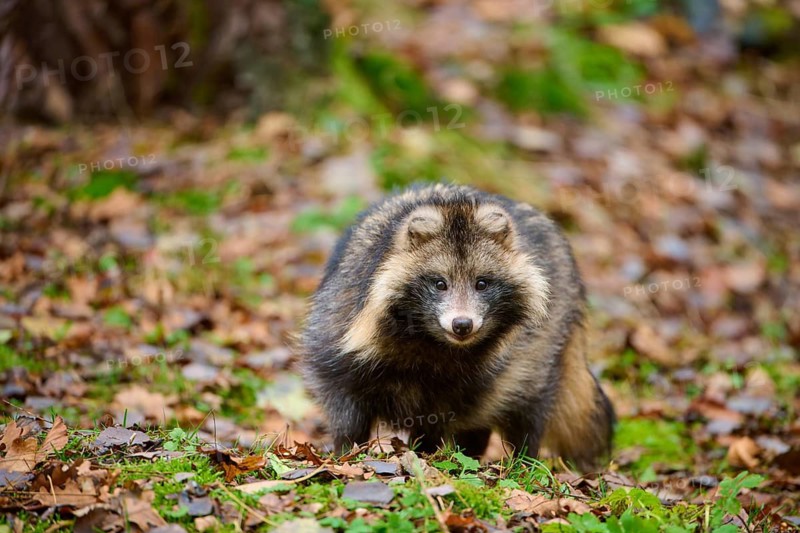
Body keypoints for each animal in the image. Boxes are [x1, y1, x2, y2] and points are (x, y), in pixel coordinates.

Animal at [301, 184, 614, 469]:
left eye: (482, 283)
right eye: (440, 283)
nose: (462, 324)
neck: (425, 341)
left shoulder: (458, 384)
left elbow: (438, 420)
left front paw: (425, 454)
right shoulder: (337, 329)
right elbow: (343, 405)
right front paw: (345, 452)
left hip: (542, 351)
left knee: (525, 406)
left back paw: (522, 460)